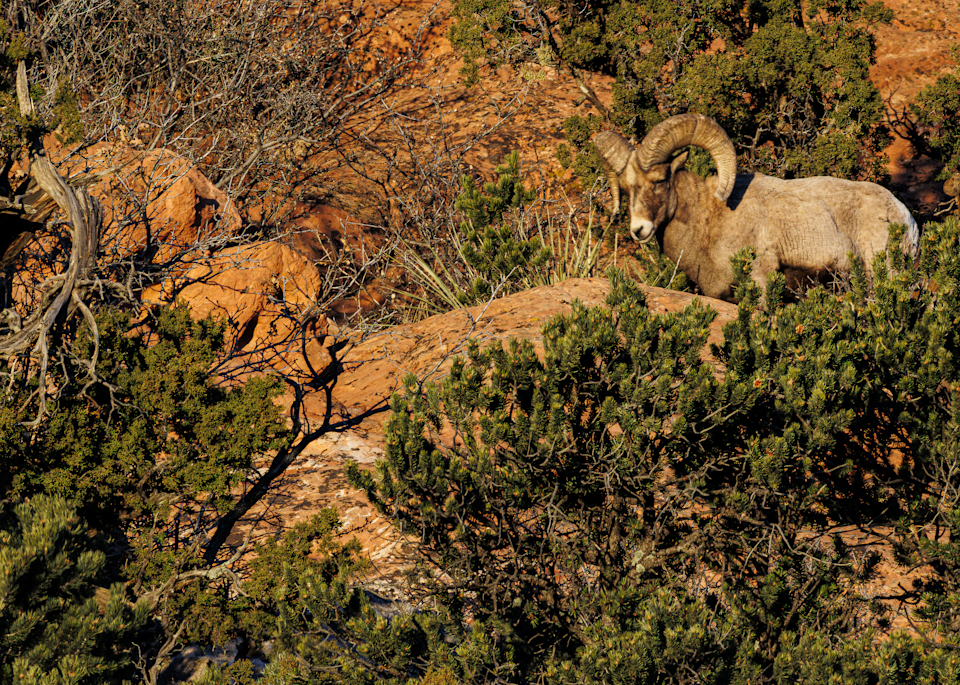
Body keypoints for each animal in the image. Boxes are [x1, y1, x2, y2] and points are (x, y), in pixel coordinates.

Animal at [593, 113, 920, 302]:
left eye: (660, 180)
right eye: (626, 187)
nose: (639, 230)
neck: (710, 221)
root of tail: (907, 220)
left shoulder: (760, 282)